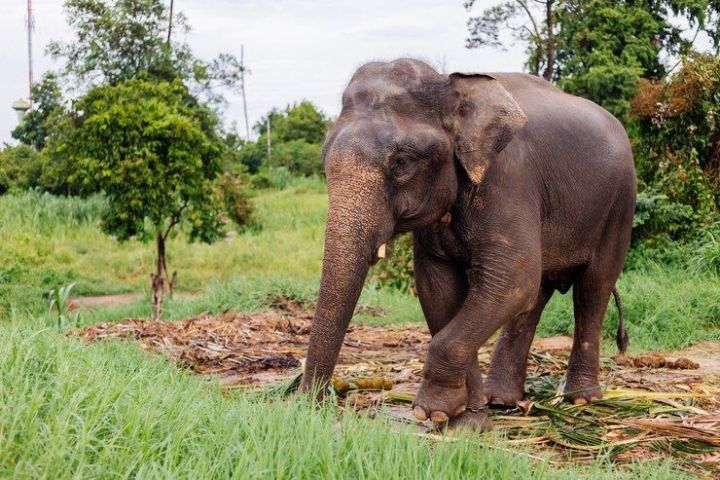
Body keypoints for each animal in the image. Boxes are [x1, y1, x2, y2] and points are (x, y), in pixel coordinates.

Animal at [298, 58, 636, 430]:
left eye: (401, 162)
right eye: (324, 160)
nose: (312, 407)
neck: (449, 84)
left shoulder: (508, 178)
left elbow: (512, 276)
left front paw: (430, 410)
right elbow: (439, 288)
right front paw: (465, 422)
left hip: (620, 204)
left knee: (593, 287)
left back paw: (579, 398)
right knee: (535, 296)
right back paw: (502, 400)